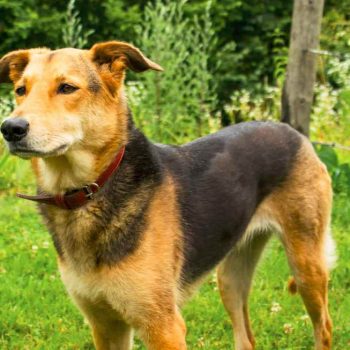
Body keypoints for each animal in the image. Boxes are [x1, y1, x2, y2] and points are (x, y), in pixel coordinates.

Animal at [1, 41, 338, 350]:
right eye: (20, 90)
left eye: (67, 88)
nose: (10, 128)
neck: (90, 190)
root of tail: (292, 131)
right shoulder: (105, 324)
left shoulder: (163, 327)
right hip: (230, 278)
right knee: (246, 338)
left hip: (307, 266)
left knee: (324, 327)